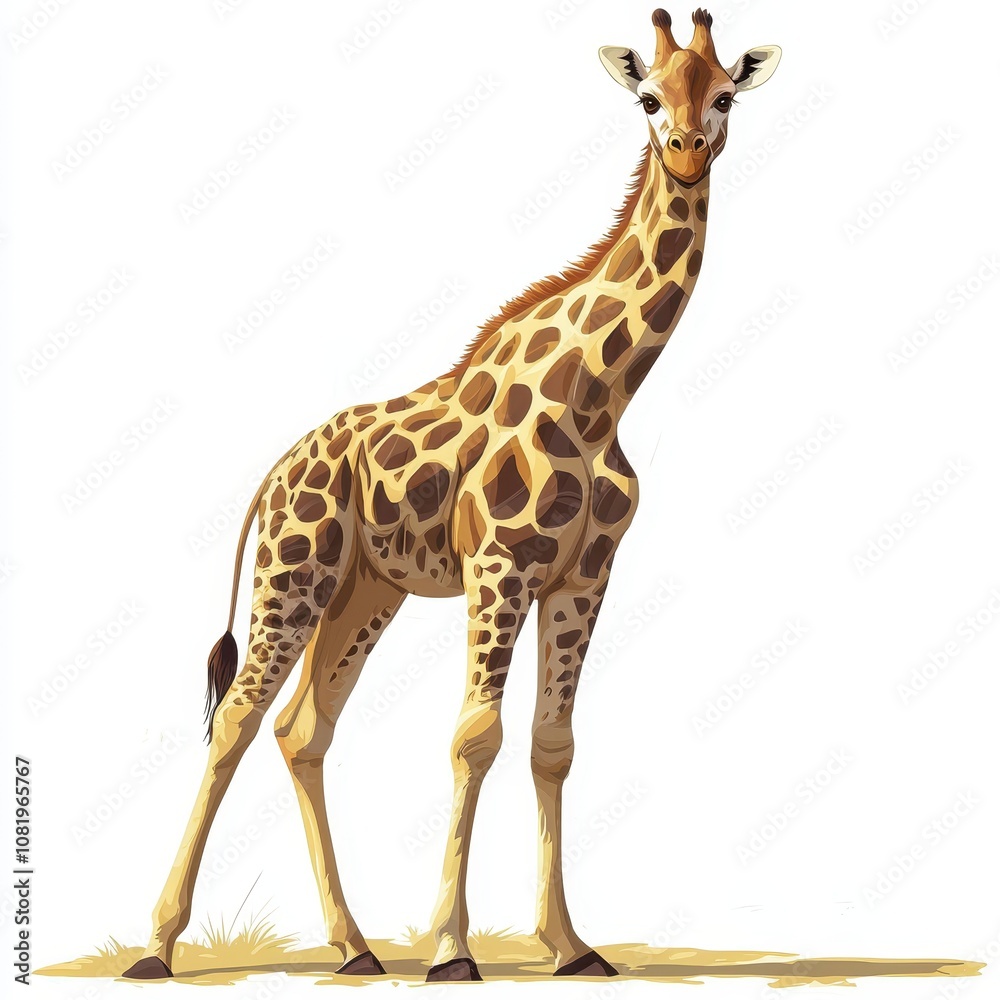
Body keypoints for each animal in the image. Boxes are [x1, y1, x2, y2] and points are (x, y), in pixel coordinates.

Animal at [123, 8, 780, 983]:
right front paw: (451, 951)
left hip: (367, 592)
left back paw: (355, 946)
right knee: (236, 718)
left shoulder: (584, 575)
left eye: (727, 95)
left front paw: (572, 947)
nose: (688, 151)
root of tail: (274, 474)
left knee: (302, 730)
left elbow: (553, 745)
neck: (601, 397)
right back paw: (157, 946)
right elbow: (476, 738)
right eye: (649, 98)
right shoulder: (502, 564)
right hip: (295, 576)